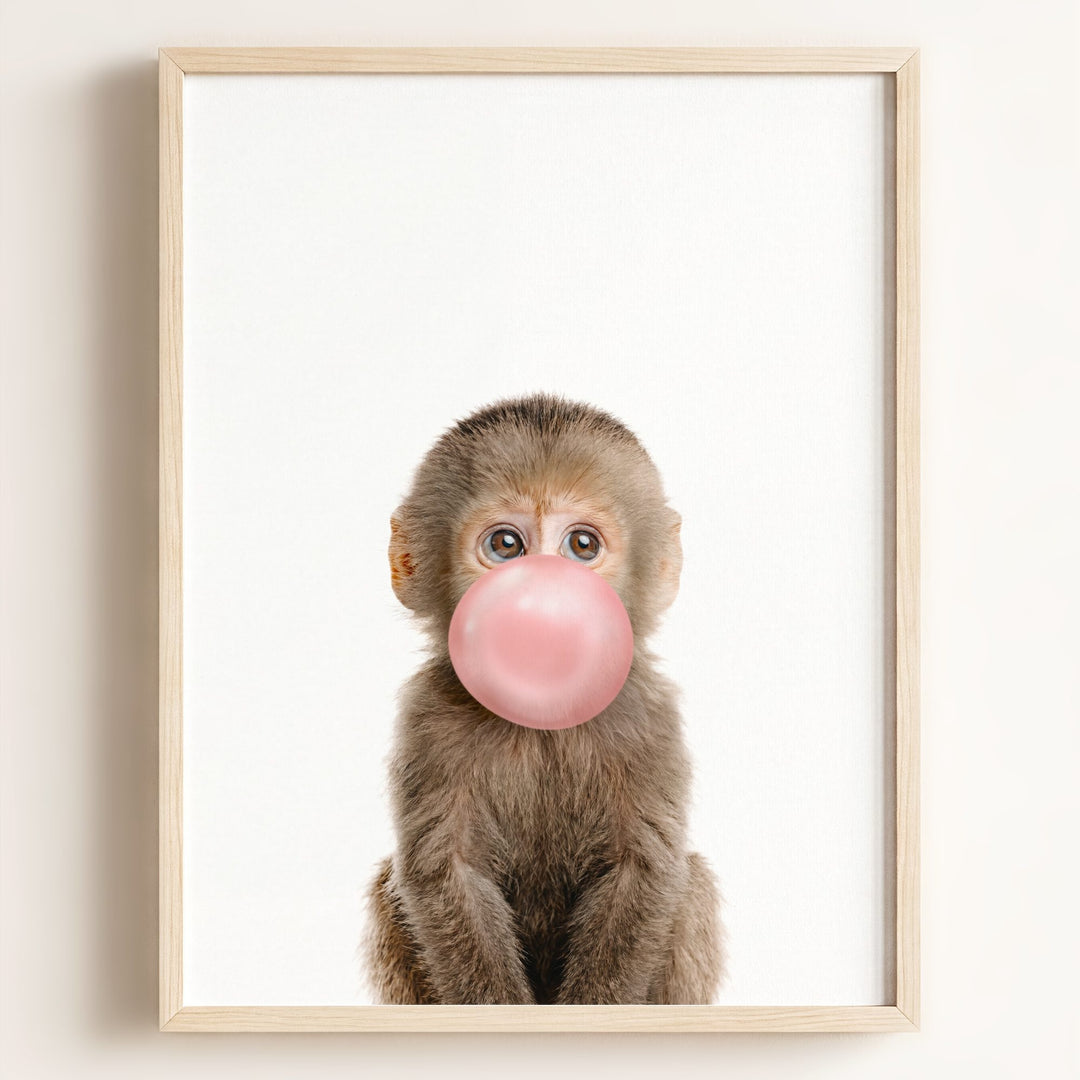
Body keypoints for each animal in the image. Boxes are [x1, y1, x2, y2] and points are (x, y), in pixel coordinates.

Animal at [364, 393, 723, 1005]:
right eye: (506, 545)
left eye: (582, 545)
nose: (544, 594)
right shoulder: (429, 717)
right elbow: (447, 871)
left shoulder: (648, 715)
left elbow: (642, 869)